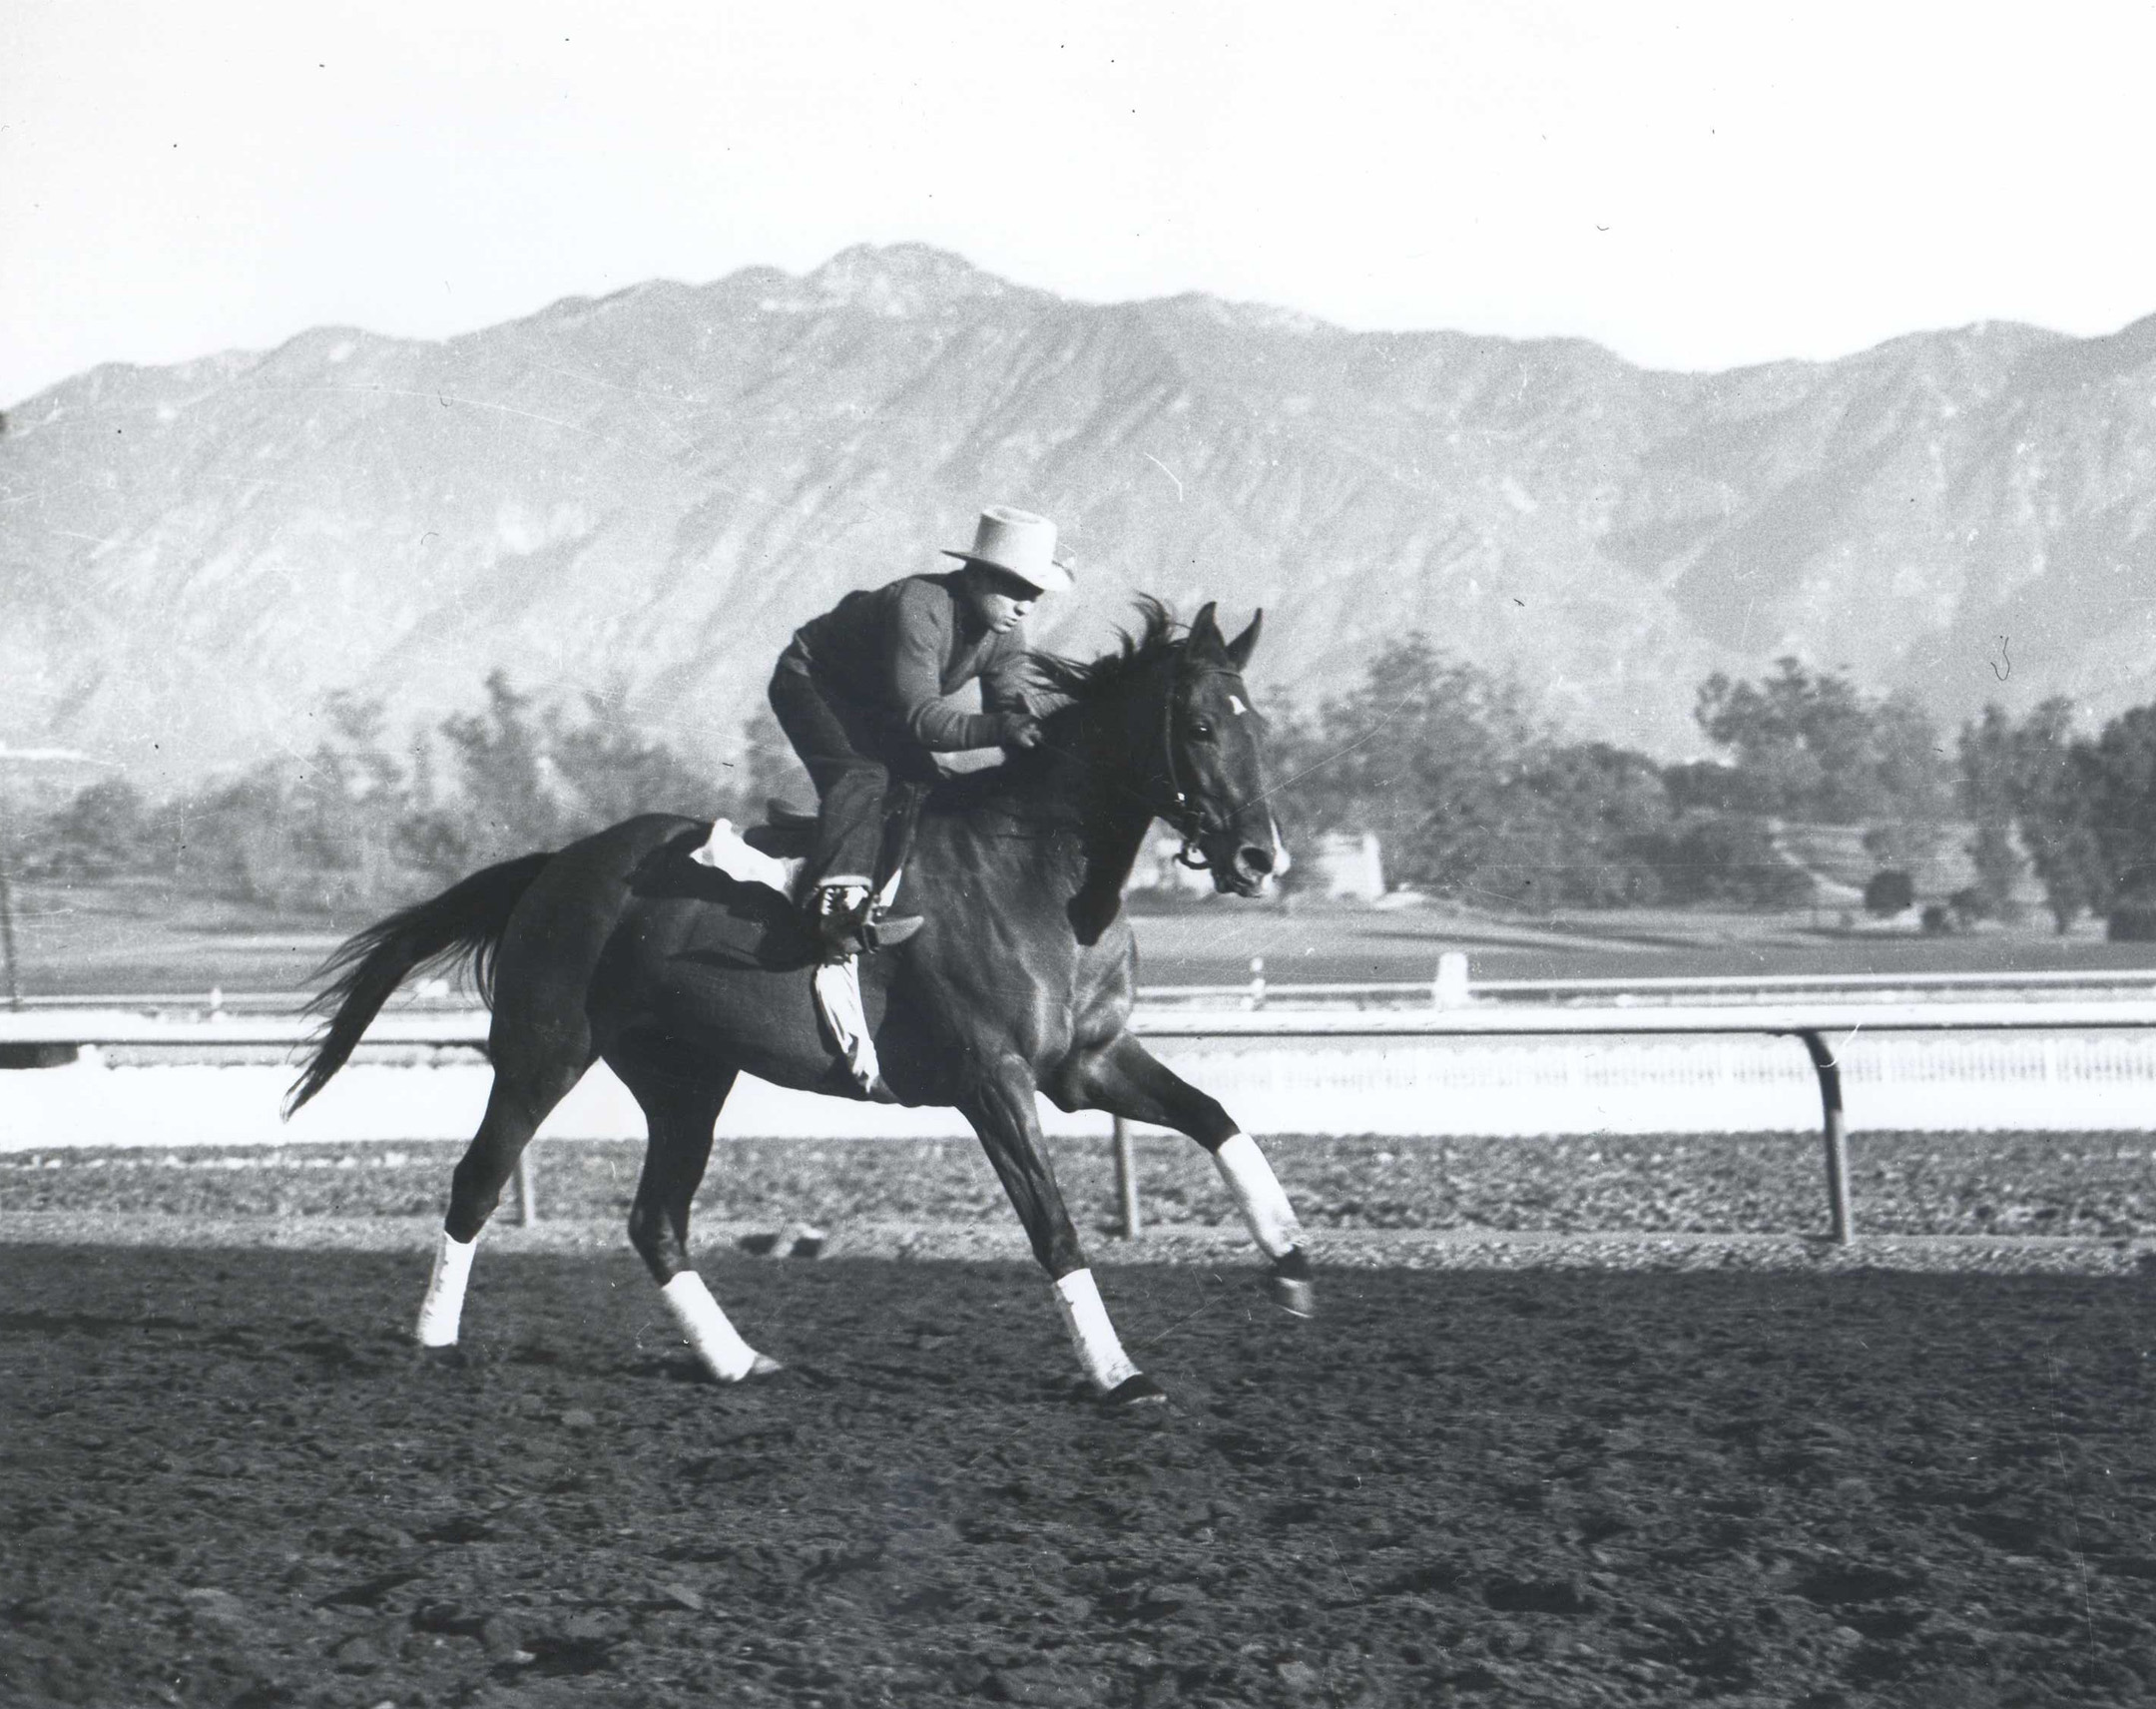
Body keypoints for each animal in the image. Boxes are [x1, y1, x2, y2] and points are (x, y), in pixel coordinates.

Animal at [288, 599, 1311, 1396]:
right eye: (1201, 729)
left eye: (1259, 728)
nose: (1261, 858)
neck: (1042, 879)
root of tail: (557, 863)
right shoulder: (994, 1078)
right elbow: (1052, 1225)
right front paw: (1118, 1373)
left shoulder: (1088, 1062)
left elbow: (1217, 1118)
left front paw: (1291, 1262)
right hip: (544, 1049)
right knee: (480, 1178)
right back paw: (434, 1341)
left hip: (685, 1079)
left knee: (656, 1219)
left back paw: (736, 1361)